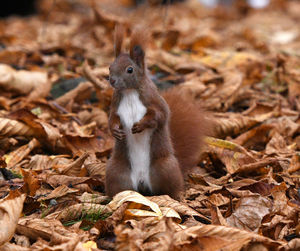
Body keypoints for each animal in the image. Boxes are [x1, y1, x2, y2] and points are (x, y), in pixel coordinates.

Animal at [104, 26, 205, 199]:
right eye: (110, 67)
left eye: (129, 70)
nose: (112, 80)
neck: (130, 92)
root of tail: (142, 182)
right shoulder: (115, 106)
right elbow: (112, 119)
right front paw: (115, 131)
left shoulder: (154, 101)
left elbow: (160, 116)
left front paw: (141, 125)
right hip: (116, 171)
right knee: (119, 187)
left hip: (165, 168)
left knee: (171, 188)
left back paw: (176, 196)